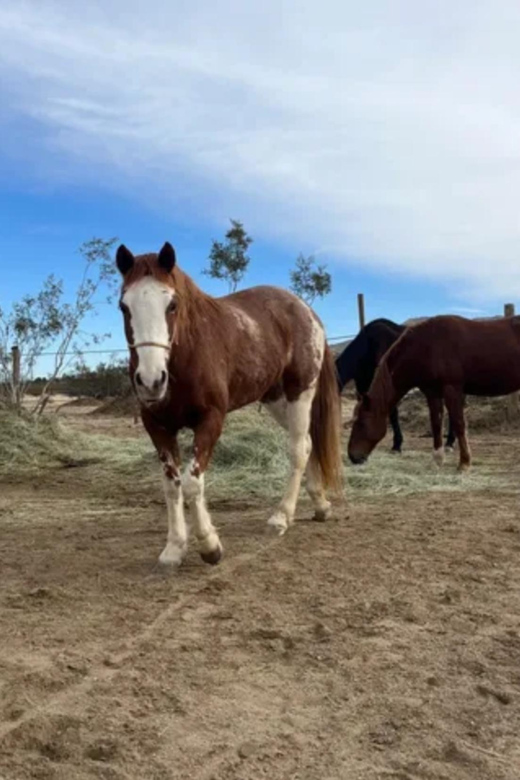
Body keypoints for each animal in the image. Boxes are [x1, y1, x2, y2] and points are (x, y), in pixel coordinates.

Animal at [116, 241, 344, 564]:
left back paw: (281, 517)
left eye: (171, 305)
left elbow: (192, 483)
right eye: (124, 306)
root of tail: (305, 309)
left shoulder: (210, 420)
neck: (187, 353)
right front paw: (174, 547)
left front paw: (209, 545)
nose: (150, 380)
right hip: (276, 399)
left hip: (300, 393)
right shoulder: (157, 426)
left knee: (298, 449)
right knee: (310, 443)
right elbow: (172, 486)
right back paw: (320, 505)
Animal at [348, 314, 520, 472]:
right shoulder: (432, 392)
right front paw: (437, 460)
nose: (352, 456)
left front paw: (464, 463)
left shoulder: (452, 389)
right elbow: (436, 423)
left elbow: (459, 423)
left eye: (361, 423)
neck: (428, 345)